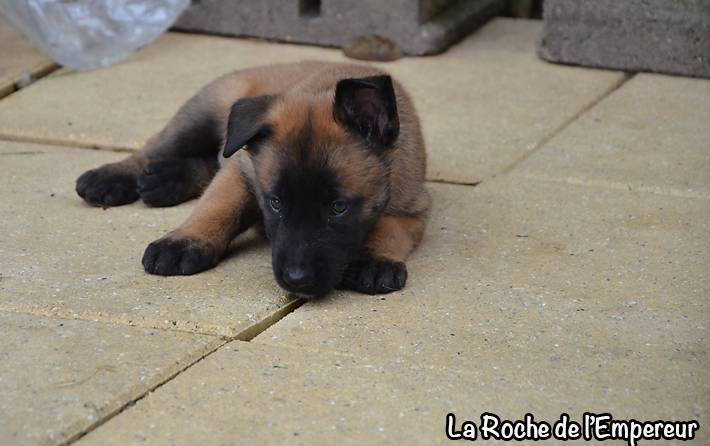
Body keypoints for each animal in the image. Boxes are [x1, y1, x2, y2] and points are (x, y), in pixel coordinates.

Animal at [78, 60, 434, 296]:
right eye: (275, 203)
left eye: (339, 207)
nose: (297, 279)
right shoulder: (241, 169)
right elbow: (217, 206)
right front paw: (183, 240)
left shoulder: (413, 208)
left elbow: (389, 227)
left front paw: (375, 260)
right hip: (199, 117)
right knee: (155, 147)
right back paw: (111, 177)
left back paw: (164, 180)